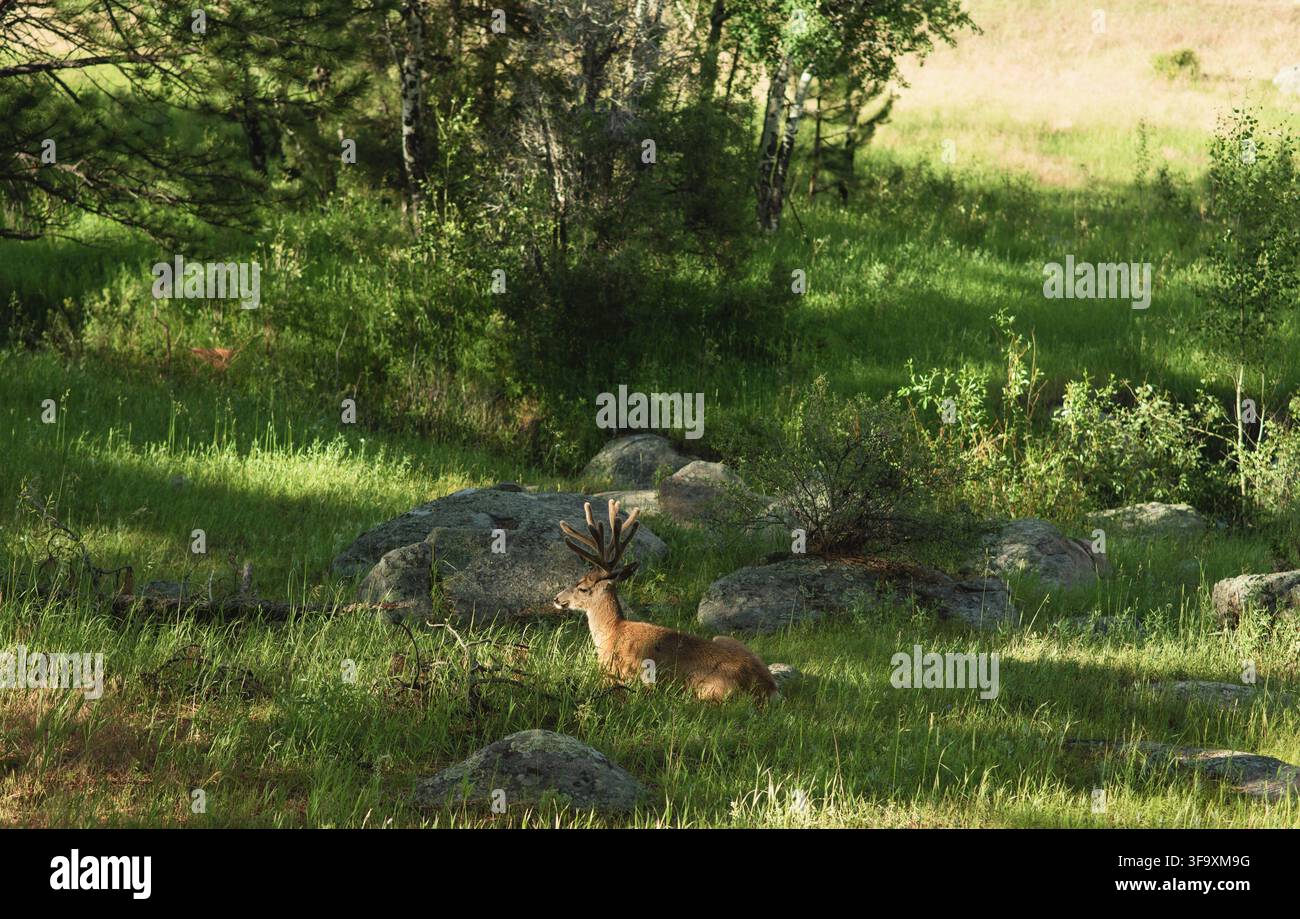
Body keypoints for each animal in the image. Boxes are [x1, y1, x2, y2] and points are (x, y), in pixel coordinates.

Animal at [555, 499, 779, 704]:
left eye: (582, 587)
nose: (557, 598)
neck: (612, 631)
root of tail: (768, 688)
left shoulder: (616, 672)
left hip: (709, 689)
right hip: (724, 639)